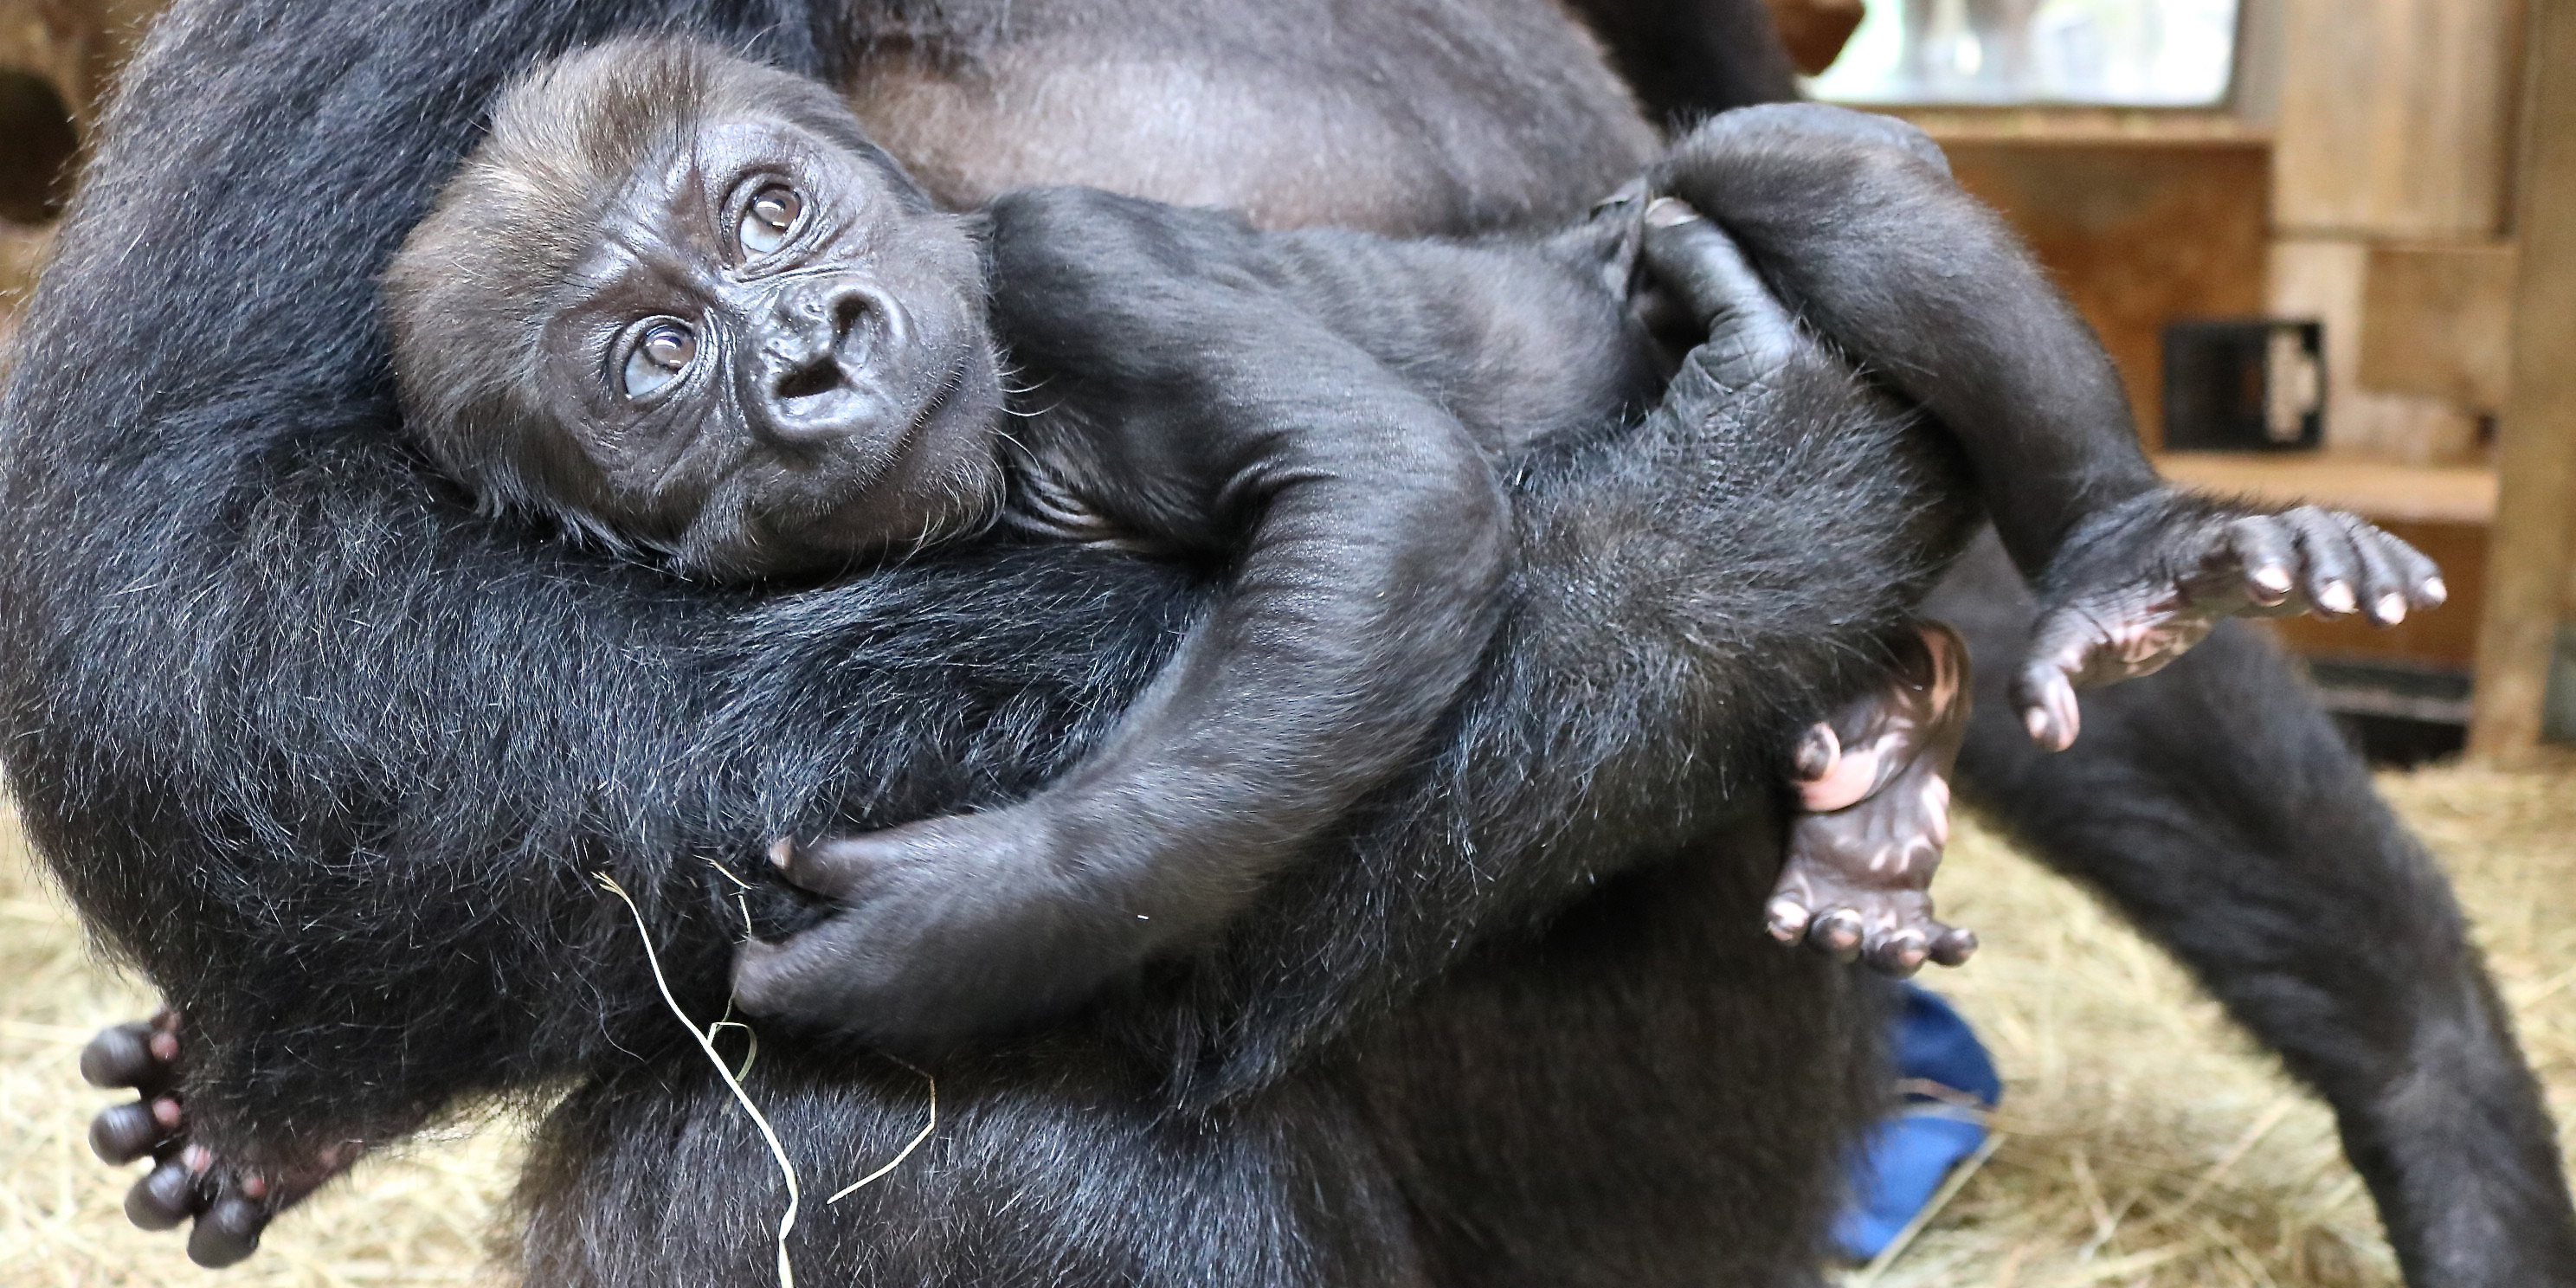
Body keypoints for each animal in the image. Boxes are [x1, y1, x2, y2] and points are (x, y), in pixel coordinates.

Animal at [381, 42, 2431, 1046]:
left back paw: (2132, 551)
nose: (813, 351)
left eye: (773, 210)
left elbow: (1396, 499)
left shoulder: (1060, 256)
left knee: (1790, 174)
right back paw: (1870, 793)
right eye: (660, 357)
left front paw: (979, 922)